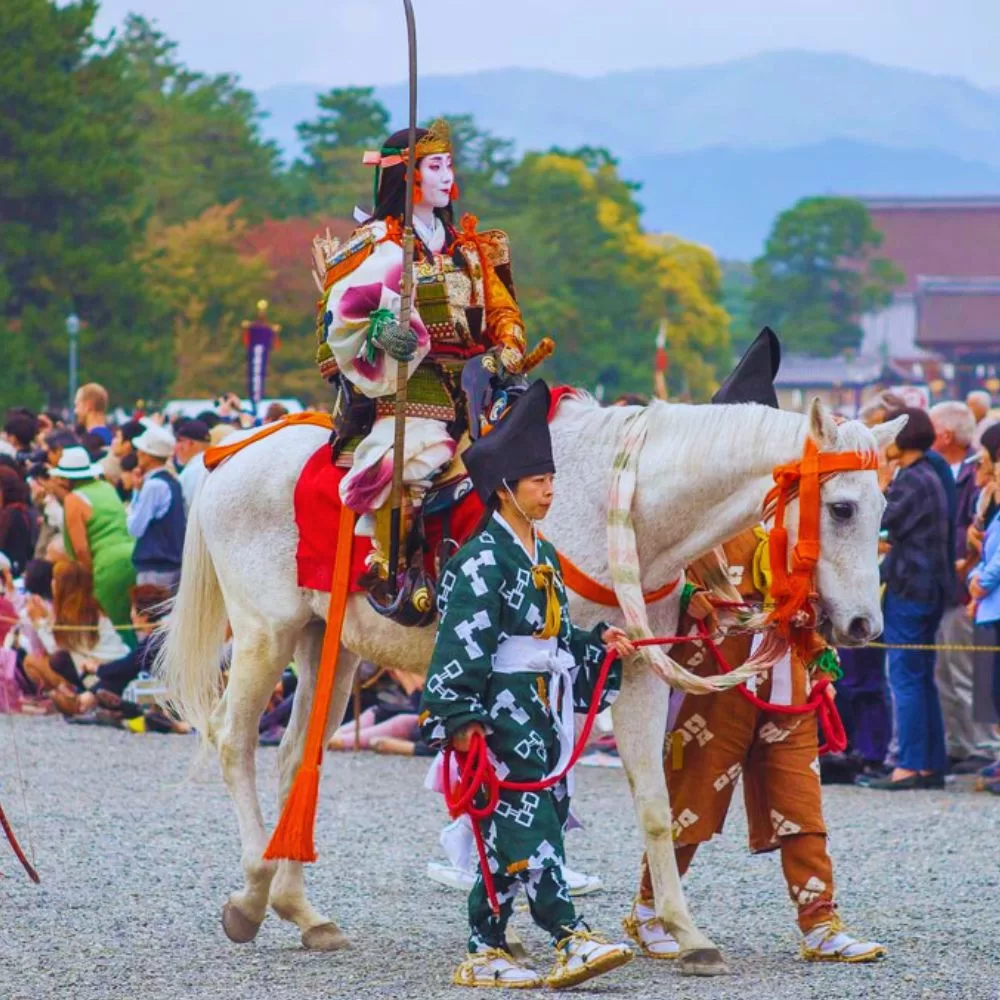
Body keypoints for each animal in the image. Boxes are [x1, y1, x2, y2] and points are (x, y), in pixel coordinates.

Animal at [162, 398, 900, 976]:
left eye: (883, 507)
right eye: (840, 509)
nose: (864, 624)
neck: (624, 508)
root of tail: (232, 456)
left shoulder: (632, 666)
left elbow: (656, 804)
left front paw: (685, 933)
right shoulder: (555, 676)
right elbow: (530, 796)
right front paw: (542, 930)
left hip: (330, 644)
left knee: (298, 758)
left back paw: (304, 911)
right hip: (265, 630)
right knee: (233, 741)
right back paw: (252, 894)